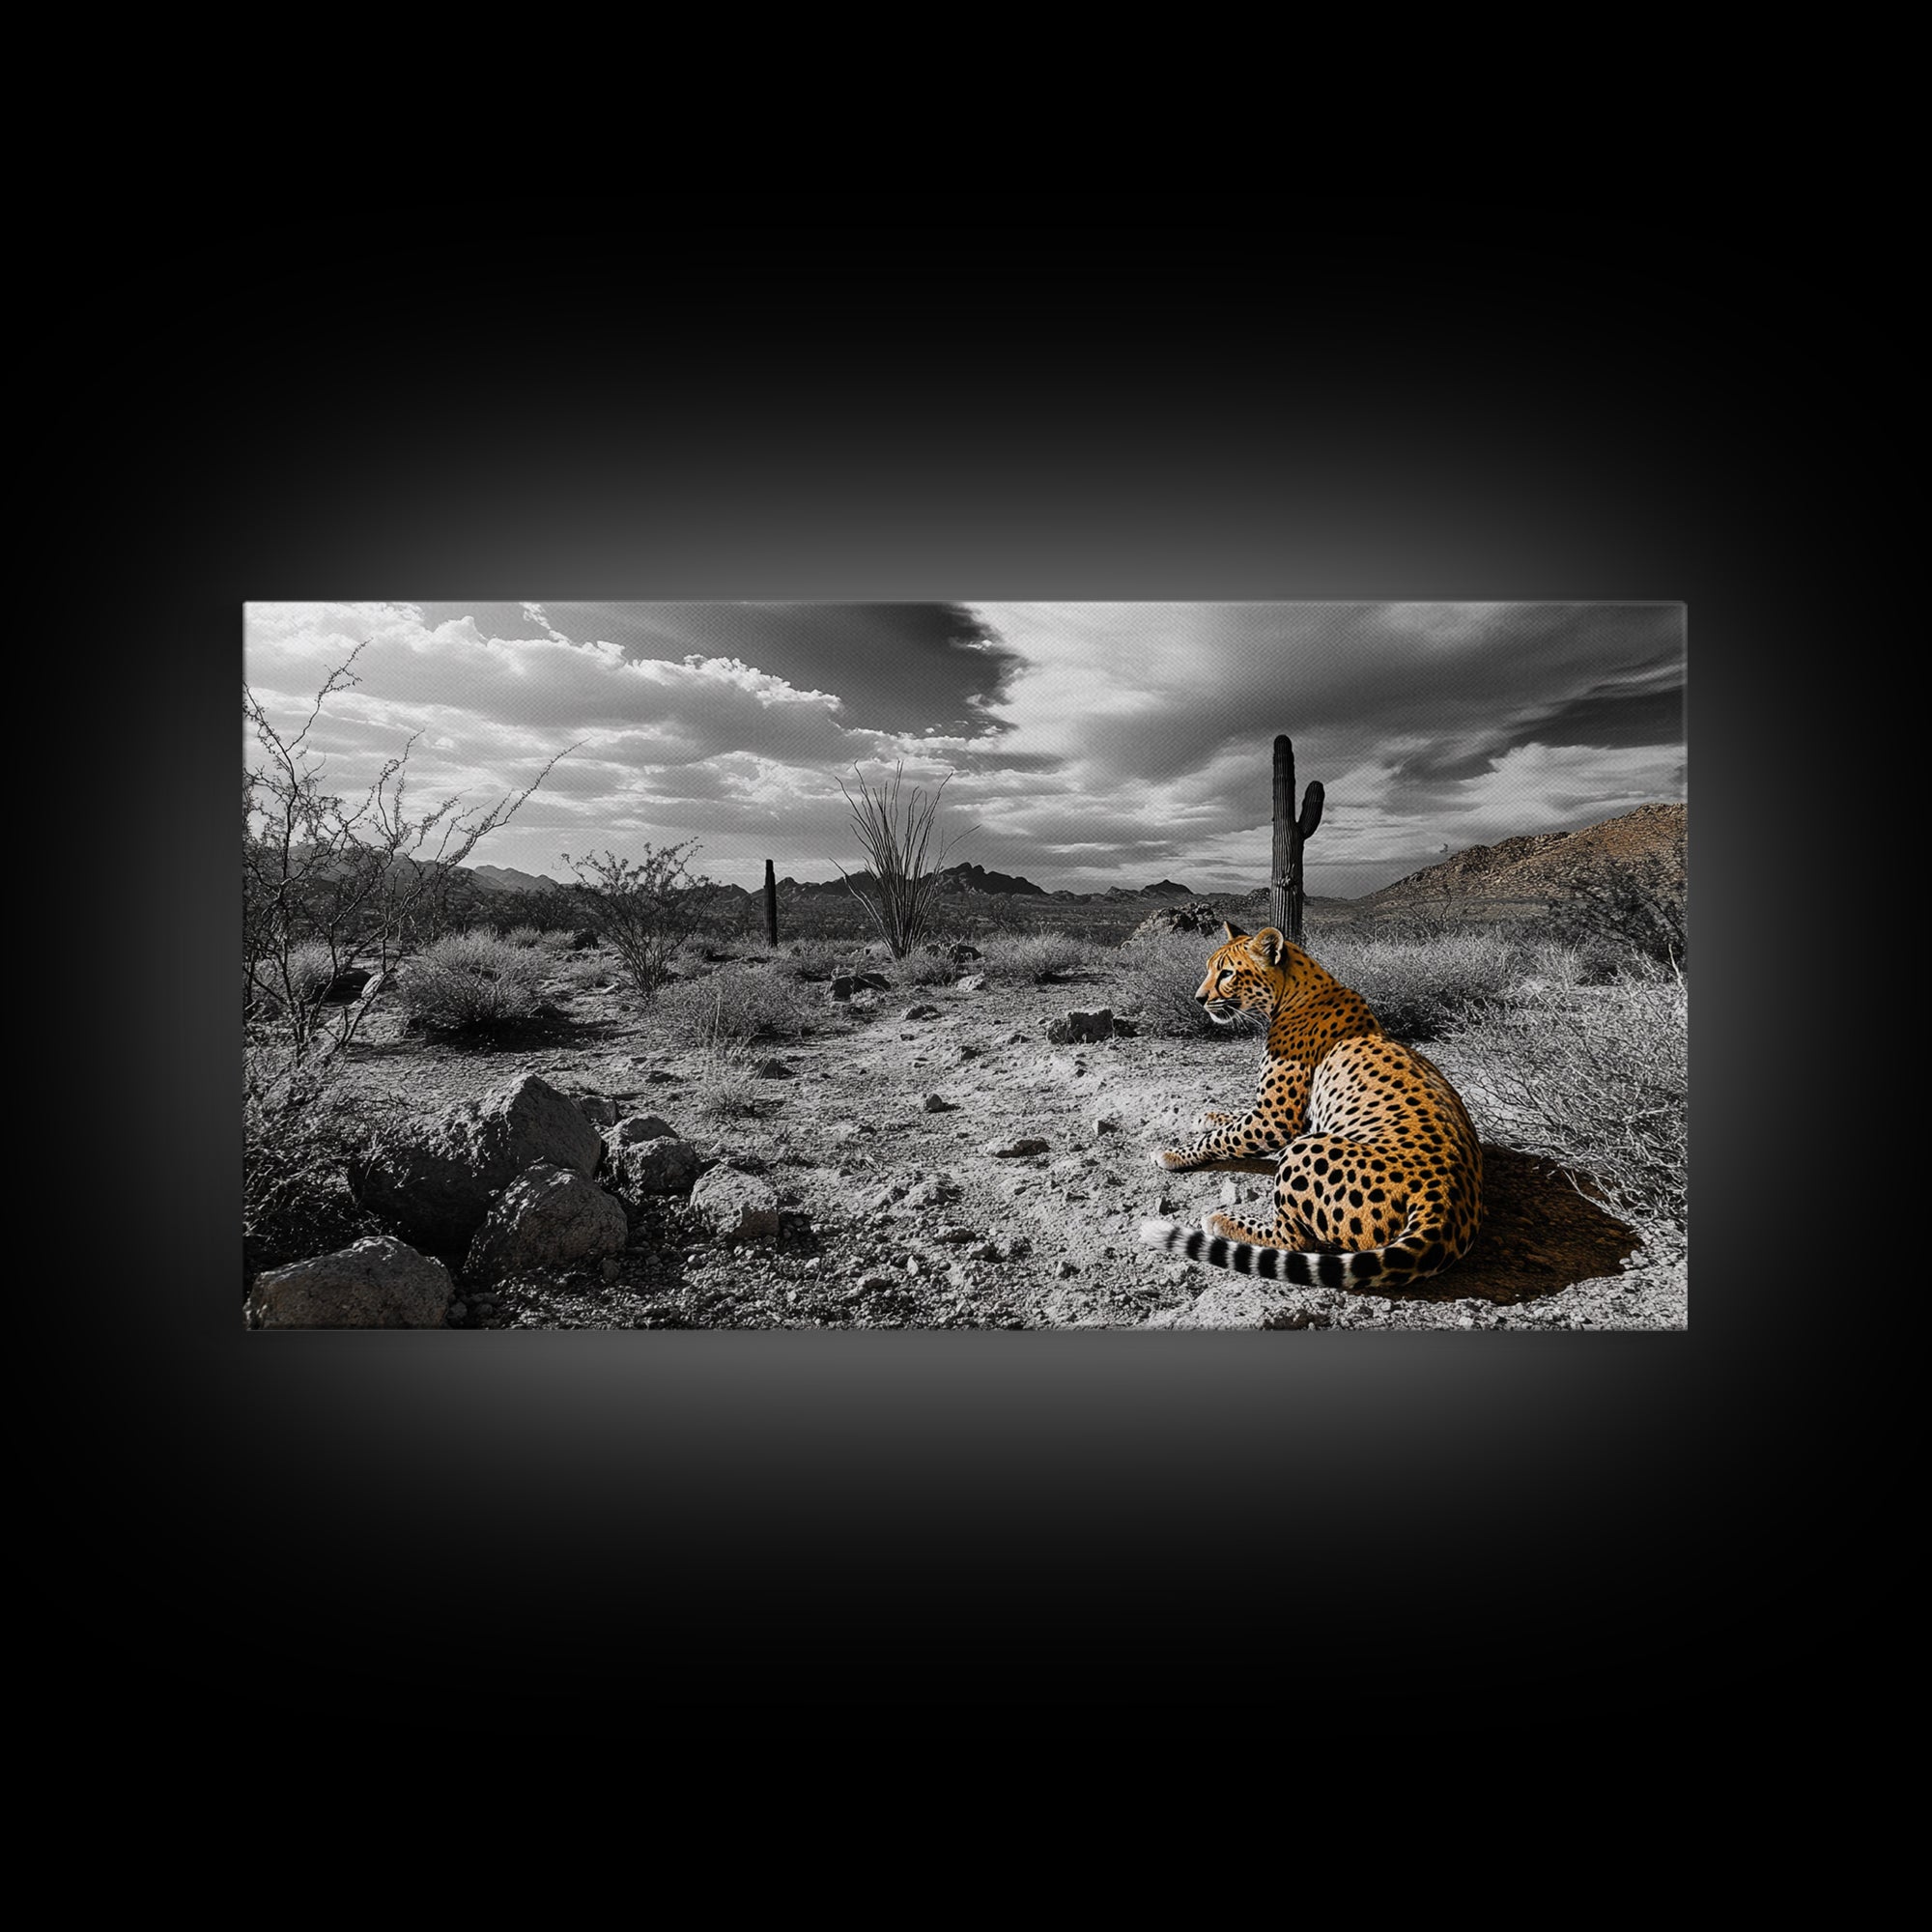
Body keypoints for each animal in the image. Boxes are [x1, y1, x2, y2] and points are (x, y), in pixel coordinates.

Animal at [1138, 923, 1484, 1292]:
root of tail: (1446, 1201)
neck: (1294, 991)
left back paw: (1224, 1220)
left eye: (1227, 973)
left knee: (1294, 1240)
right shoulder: (1288, 1115)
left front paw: (1173, 1153)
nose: (1199, 999)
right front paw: (1209, 1116)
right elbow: (1232, 1121)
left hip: (1305, 1149)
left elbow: (1223, 1137)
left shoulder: (1277, 1120)